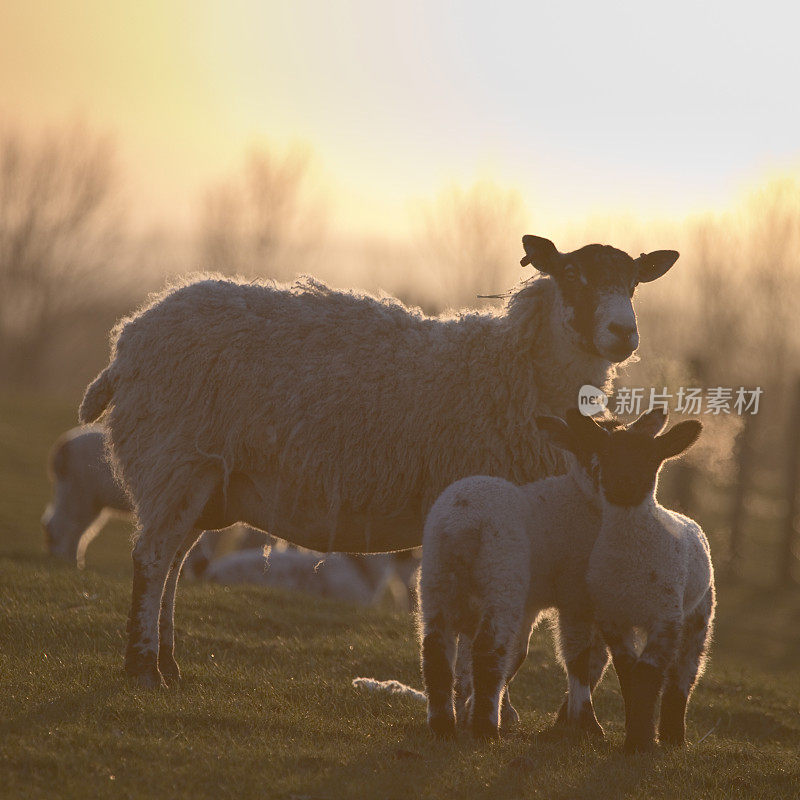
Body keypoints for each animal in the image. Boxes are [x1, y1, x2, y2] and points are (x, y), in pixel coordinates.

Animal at [76, 233, 680, 688]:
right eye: (574, 276)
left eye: (633, 283)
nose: (624, 332)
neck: (518, 373)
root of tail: (127, 339)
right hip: (173, 458)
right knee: (152, 560)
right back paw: (143, 668)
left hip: (202, 479)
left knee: (174, 562)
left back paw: (168, 664)